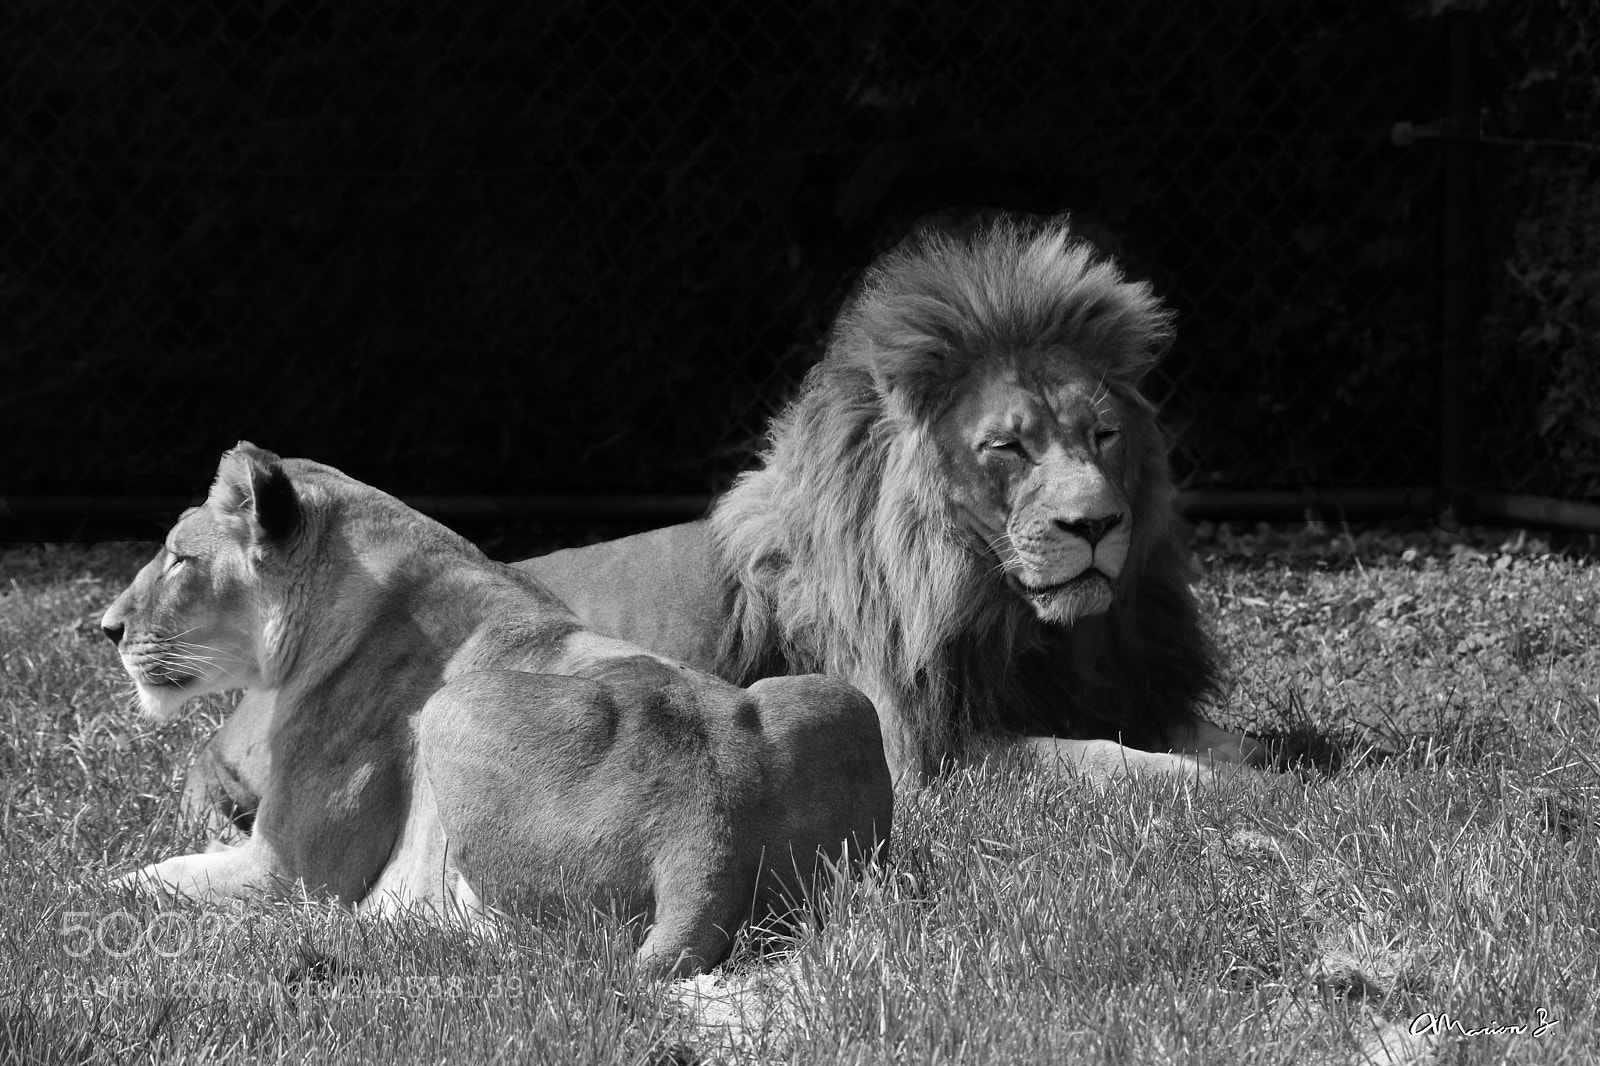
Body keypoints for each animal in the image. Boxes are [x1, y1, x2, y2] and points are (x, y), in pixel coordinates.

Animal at [101, 443, 893, 976]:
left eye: (179, 557)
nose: (106, 628)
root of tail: (706, 838)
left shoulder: (288, 873)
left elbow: (146, 879)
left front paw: (90, 893)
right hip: (837, 699)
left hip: (451, 713)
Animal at [184, 217, 1262, 832]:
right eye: (1008, 447)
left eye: (1103, 433)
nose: (1096, 524)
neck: (1020, 622)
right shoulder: (931, 753)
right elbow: (1101, 760)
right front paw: (1218, 787)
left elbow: (1222, 739)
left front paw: (1270, 766)